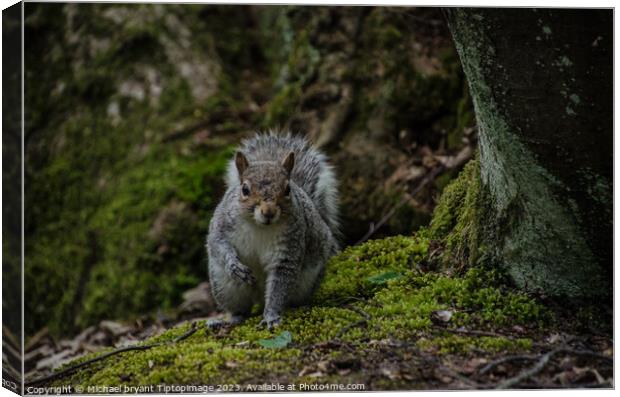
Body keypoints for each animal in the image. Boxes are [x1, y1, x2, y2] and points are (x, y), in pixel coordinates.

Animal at [205, 132, 340, 328]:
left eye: (288, 189)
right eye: (245, 189)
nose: (268, 212)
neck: (259, 226)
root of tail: (259, 297)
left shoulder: (289, 246)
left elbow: (278, 287)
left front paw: (271, 316)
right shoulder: (222, 224)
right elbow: (217, 243)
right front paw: (234, 265)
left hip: (306, 282)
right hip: (224, 286)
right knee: (240, 310)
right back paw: (228, 320)